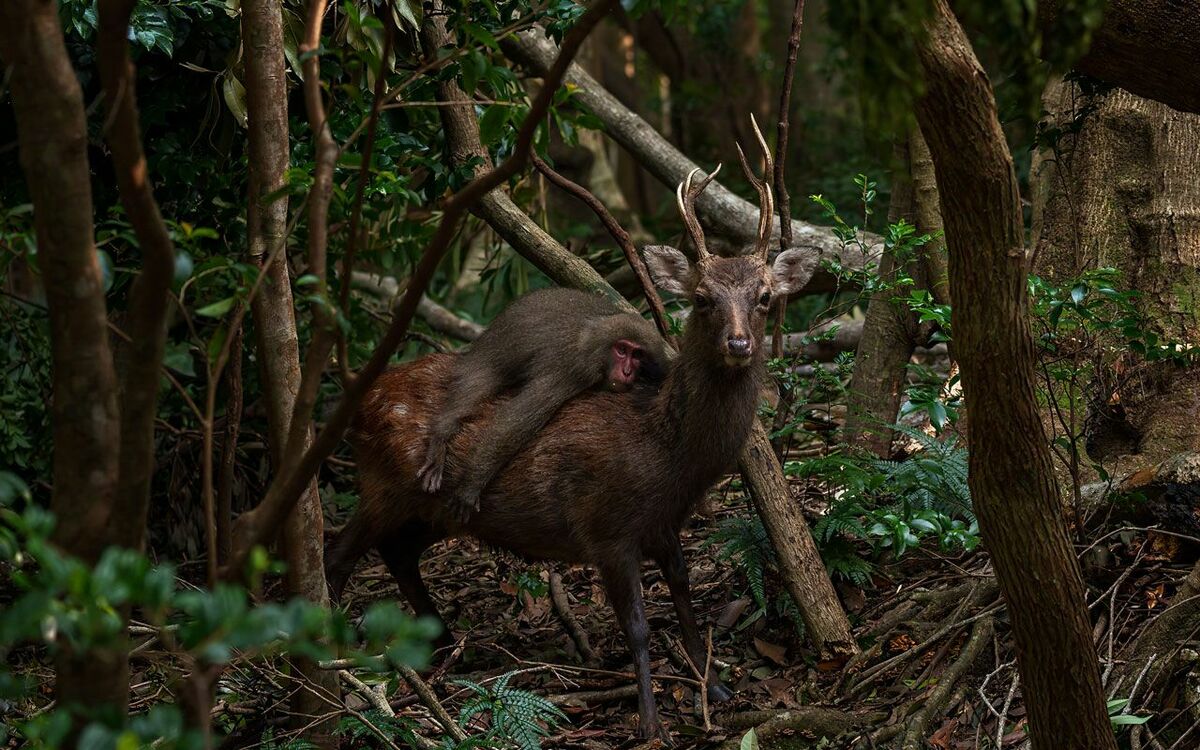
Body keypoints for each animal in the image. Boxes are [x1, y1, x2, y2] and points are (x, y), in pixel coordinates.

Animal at [417, 287, 669, 520]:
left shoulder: (659, 366)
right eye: (622, 350)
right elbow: (514, 423)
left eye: (637, 355)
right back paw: (443, 429)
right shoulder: (573, 367)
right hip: (493, 350)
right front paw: (471, 484)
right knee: (478, 380)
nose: (627, 372)